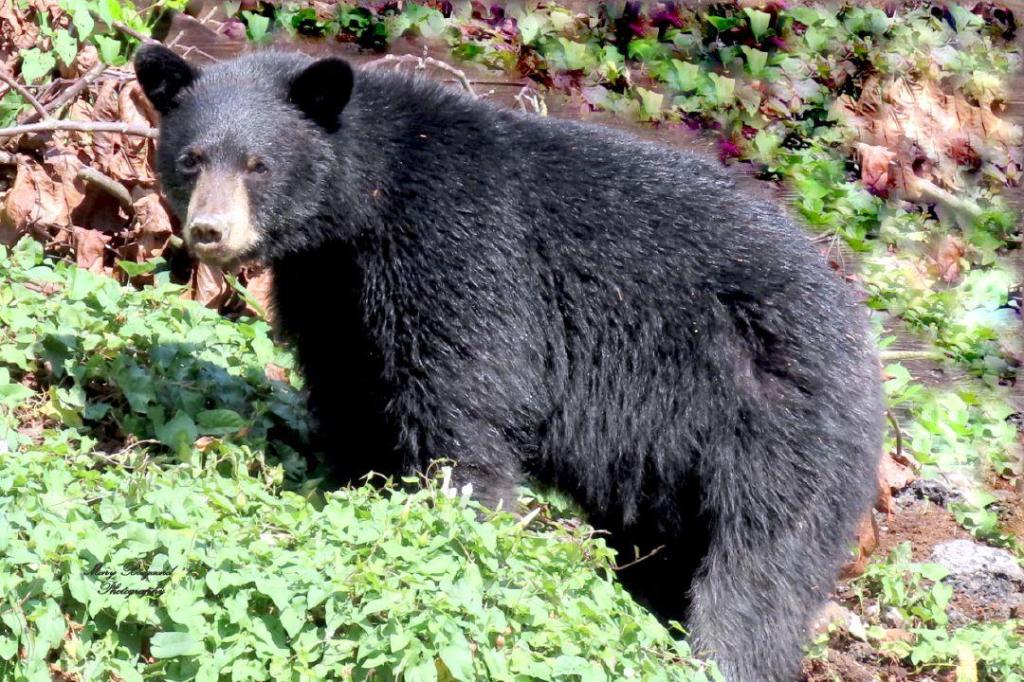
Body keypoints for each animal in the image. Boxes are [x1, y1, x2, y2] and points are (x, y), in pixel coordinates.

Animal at [134, 44, 884, 682]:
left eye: (257, 163)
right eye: (192, 158)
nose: (209, 231)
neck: (366, 205)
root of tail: (862, 341)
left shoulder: (460, 247)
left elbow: (462, 398)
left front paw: (458, 528)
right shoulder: (330, 285)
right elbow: (351, 388)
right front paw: (348, 488)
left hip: (775, 428)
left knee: (760, 567)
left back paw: (722, 653)